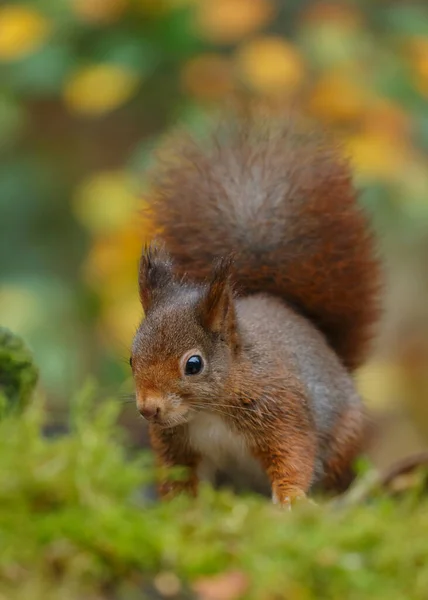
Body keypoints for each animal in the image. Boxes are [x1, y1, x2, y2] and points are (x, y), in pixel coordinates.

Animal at [130, 103, 382, 506]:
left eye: (194, 365)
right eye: (131, 359)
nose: (148, 409)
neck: (208, 411)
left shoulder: (281, 409)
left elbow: (294, 453)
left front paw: (291, 499)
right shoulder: (177, 443)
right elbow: (179, 475)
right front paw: (178, 507)